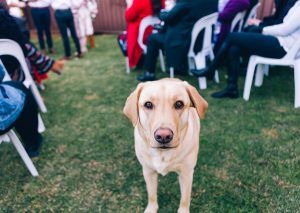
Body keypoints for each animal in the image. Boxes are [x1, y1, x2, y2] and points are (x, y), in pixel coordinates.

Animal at [123, 78, 207, 213]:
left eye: (179, 104)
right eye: (148, 104)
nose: (163, 136)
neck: (162, 154)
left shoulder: (186, 174)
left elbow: (185, 198)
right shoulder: (148, 171)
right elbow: (151, 194)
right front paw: (151, 208)